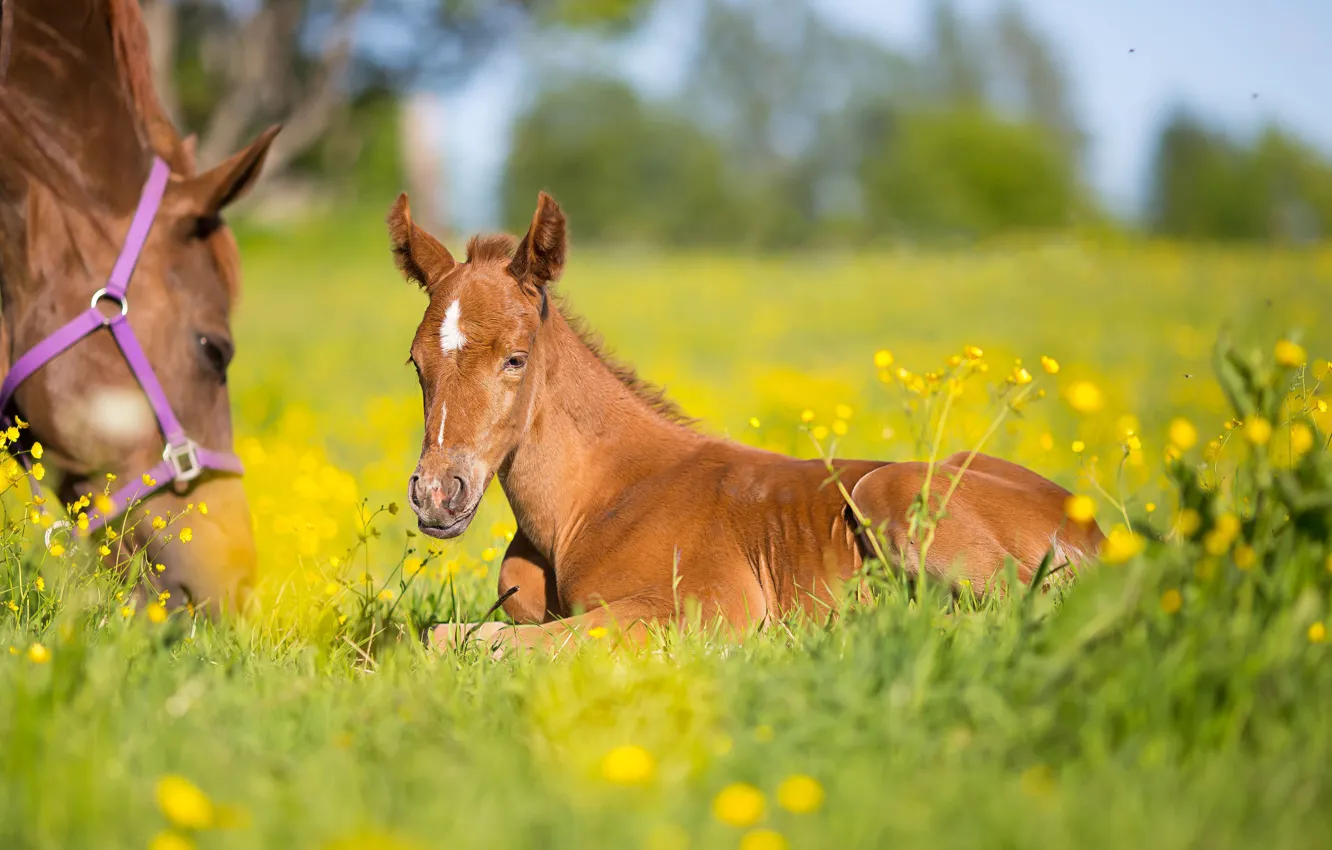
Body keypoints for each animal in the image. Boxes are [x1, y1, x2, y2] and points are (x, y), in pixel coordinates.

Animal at [386, 193, 1102, 655]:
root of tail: (1098, 530)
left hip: (889, 492)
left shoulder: (709, 606)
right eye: (416, 363)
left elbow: (476, 641)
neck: (589, 503)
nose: (437, 493)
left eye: (515, 357)